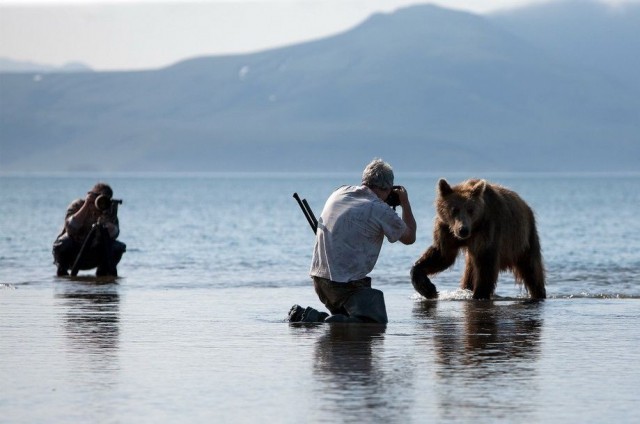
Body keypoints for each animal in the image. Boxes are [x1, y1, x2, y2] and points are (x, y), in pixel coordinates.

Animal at [410, 177, 544, 300]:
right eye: (454, 209)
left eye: (471, 210)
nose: (463, 229)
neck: (472, 230)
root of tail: (526, 206)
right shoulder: (447, 231)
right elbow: (442, 255)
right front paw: (427, 288)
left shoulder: (487, 230)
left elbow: (486, 264)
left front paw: (479, 294)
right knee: (469, 273)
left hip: (525, 237)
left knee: (532, 269)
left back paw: (539, 292)